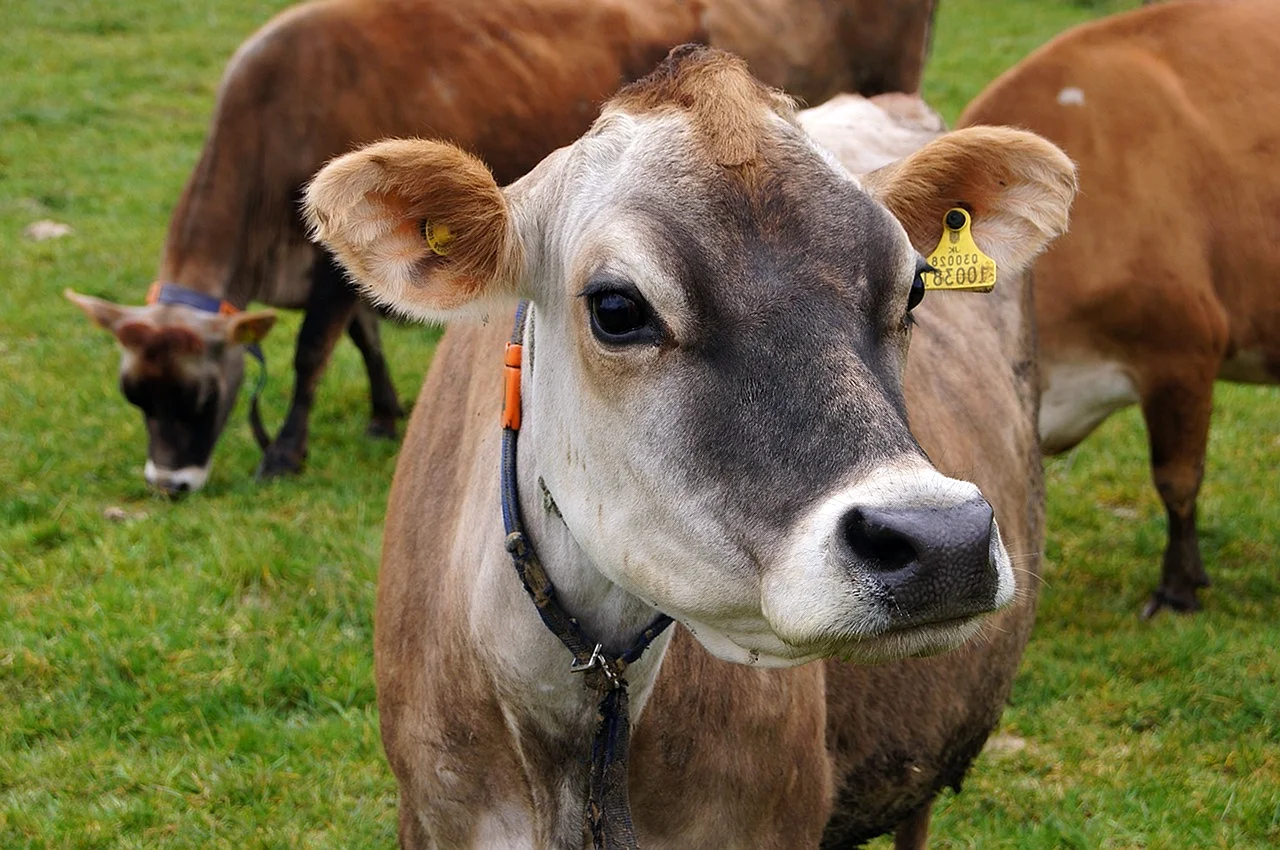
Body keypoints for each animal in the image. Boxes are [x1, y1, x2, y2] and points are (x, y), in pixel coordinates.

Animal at [64, 0, 938, 495]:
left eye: (200, 396)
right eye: (135, 396)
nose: (169, 483)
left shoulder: (324, 271)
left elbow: (314, 353)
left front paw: (283, 452)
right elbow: (367, 336)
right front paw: (383, 414)